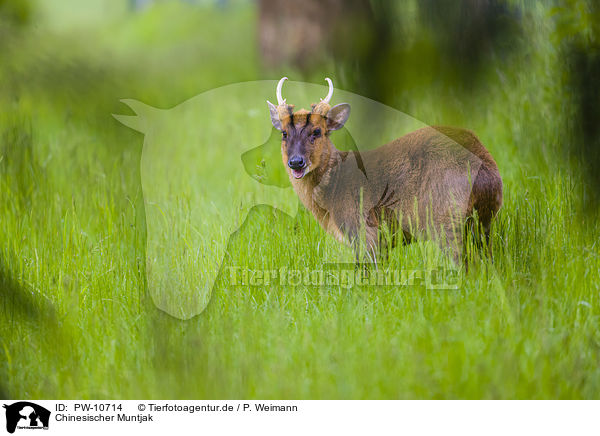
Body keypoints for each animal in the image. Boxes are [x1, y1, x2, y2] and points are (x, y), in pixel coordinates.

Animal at [268, 77, 502, 266]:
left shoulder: (364, 230)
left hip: (447, 219)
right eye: (284, 133)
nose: (296, 162)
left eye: (317, 131)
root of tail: (487, 172)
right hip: (484, 223)